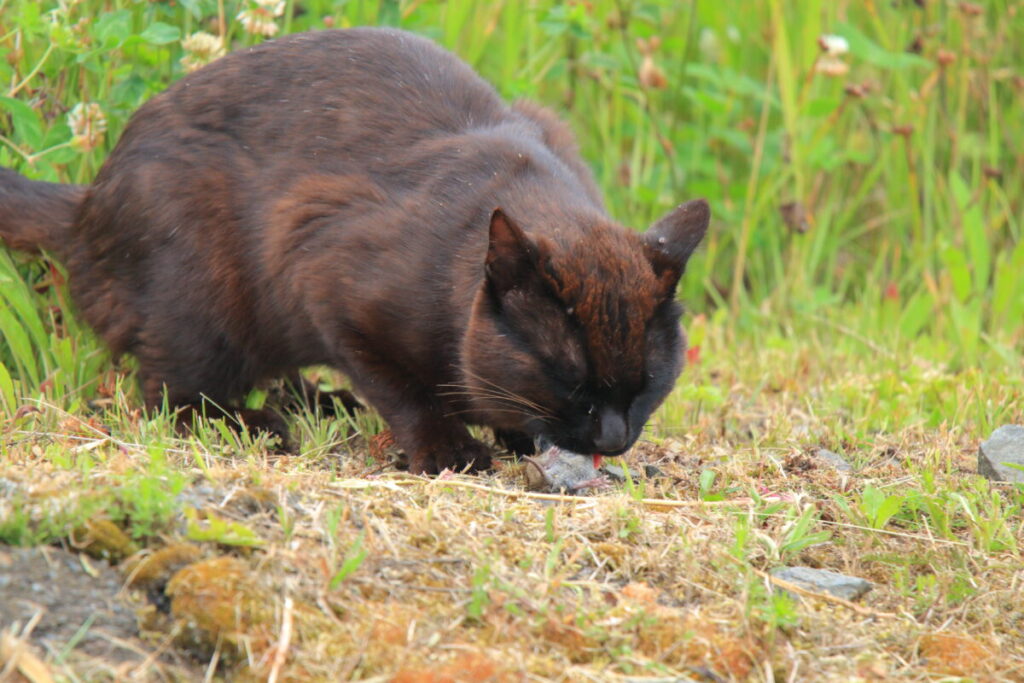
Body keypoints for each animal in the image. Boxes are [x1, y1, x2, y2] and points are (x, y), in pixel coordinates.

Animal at [0, 28, 708, 475]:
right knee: (170, 393)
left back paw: (322, 402)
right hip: (204, 288)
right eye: (570, 379)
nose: (613, 438)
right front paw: (449, 448)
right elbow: (404, 388)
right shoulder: (320, 269)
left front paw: (511, 430)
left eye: (648, 384)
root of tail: (89, 200)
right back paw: (260, 421)